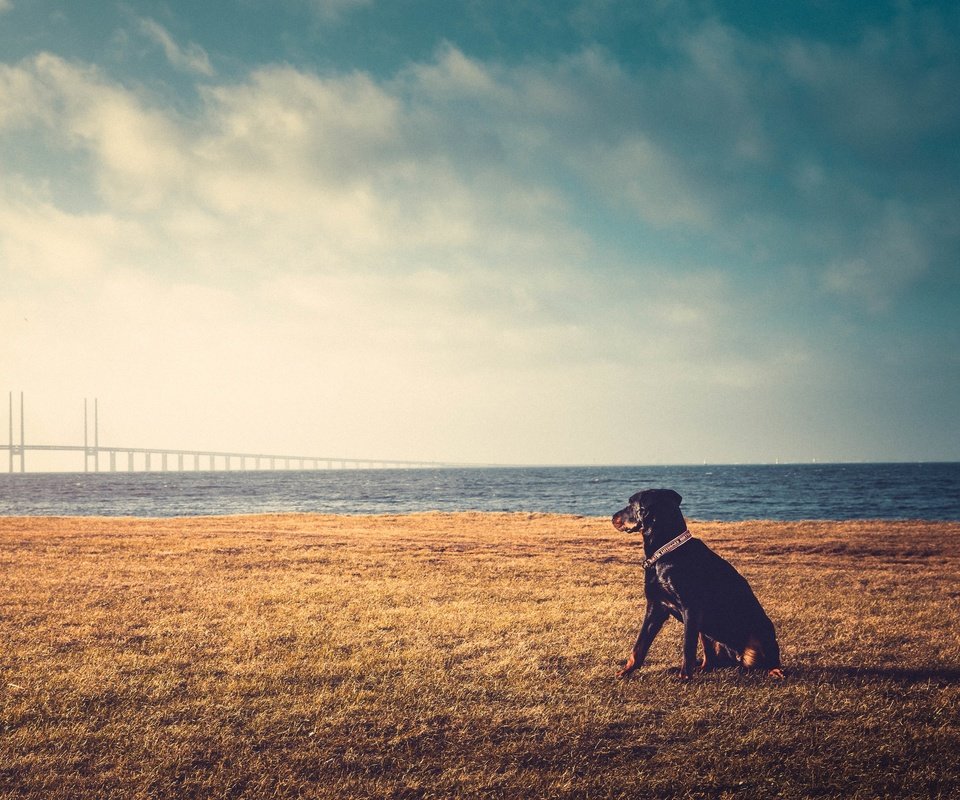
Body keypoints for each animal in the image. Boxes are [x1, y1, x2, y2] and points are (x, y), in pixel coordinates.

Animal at [612, 490, 784, 680]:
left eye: (631, 504)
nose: (613, 517)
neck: (666, 552)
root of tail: (737, 659)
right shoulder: (655, 607)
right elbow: (639, 646)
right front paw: (625, 672)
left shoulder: (690, 608)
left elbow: (687, 648)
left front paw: (684, 678)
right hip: (706, 631)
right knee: (711, 660)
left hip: (761, 630)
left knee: (770, 658)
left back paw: (775, 670)